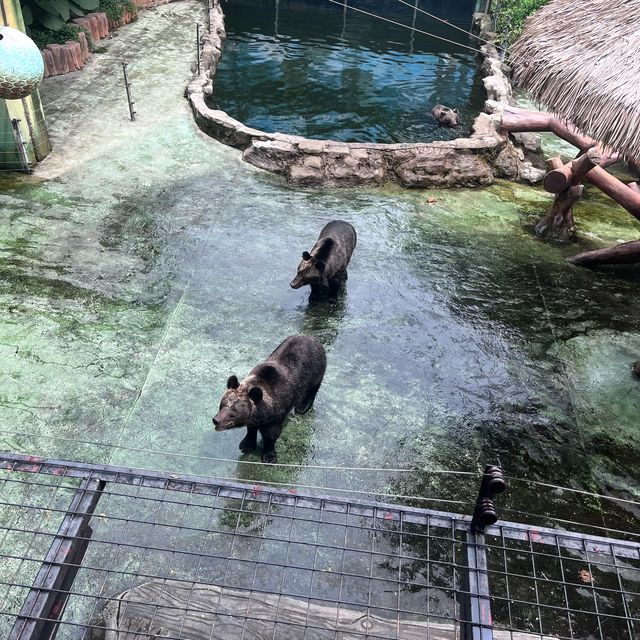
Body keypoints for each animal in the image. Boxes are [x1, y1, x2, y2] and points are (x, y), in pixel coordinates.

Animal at [214, 336, 328, 464]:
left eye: (232, 412)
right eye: (222, 405)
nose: (216, 420)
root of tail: (311, 338)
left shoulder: (277, 412)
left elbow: (272, 433)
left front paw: (269, 455)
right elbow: (251, 428)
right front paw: (247, 444)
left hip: (315, 370)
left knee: (313, 388)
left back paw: (303, 407)